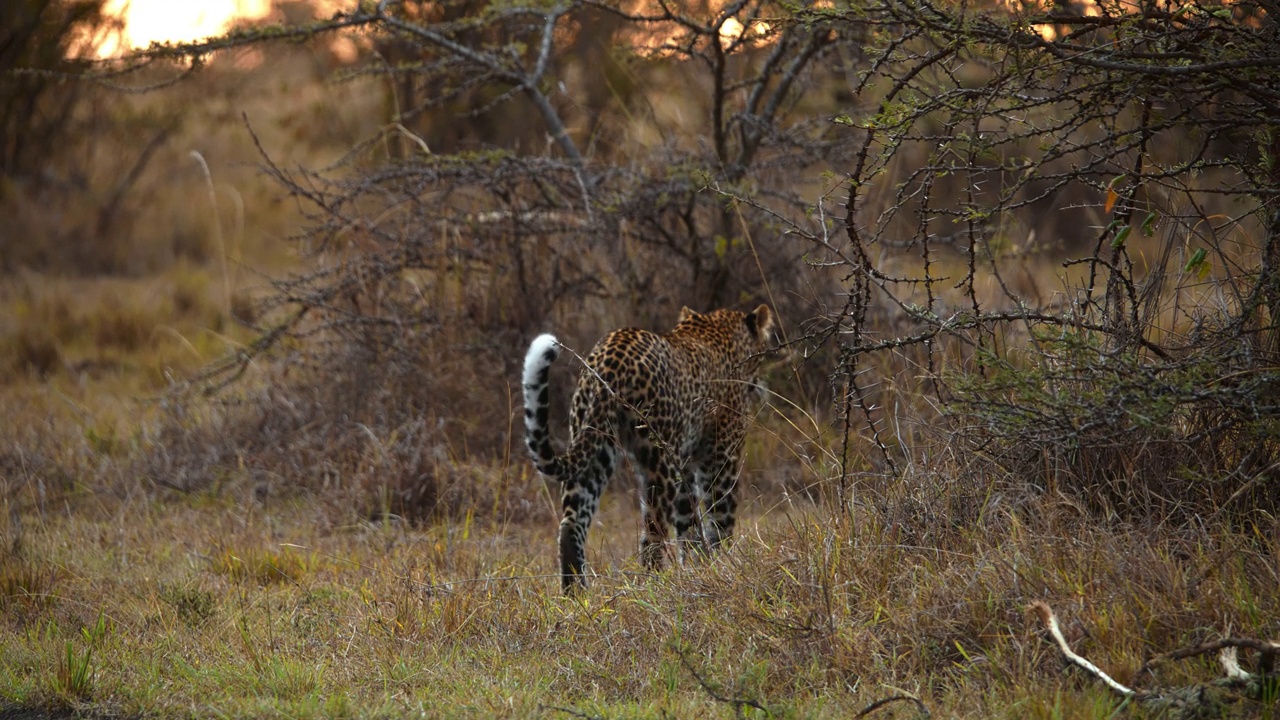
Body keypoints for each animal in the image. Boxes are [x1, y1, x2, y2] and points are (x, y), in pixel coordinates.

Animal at [522, 302, 778, 589]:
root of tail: (610, 359)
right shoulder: (722, 457)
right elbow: (720, 519)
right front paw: (723, 566)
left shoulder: (685, 465)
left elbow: (689, 526)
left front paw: (697, 569)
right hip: (658, 461)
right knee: (652, 535)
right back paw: (656, 586)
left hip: (595, 448)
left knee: (570, 525)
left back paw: (576, 594)